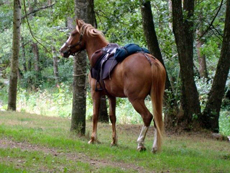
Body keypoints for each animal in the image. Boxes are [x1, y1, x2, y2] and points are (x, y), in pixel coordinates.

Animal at [60, 19, 166, 153]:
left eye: (73, 34)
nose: (62, 50)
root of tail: (150, 60)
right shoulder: (111, 96)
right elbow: (113, 117)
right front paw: (114, 141)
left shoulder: (95, 93)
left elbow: (95, 115)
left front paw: (93, 139)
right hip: (155, 97)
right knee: (157, 120)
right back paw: (155, 147)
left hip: (136, 99)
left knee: (147, 117)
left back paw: (140, 143)